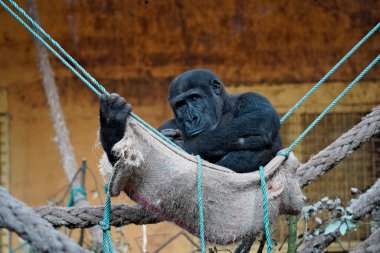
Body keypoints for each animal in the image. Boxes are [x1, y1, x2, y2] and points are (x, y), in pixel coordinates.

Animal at [99, 68, 284, 173]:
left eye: (195, 98)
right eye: (180, 105)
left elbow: (260, 121)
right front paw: (111, 121)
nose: (190, 119)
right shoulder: (169, 123)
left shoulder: (251, 98)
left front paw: (181, 144)